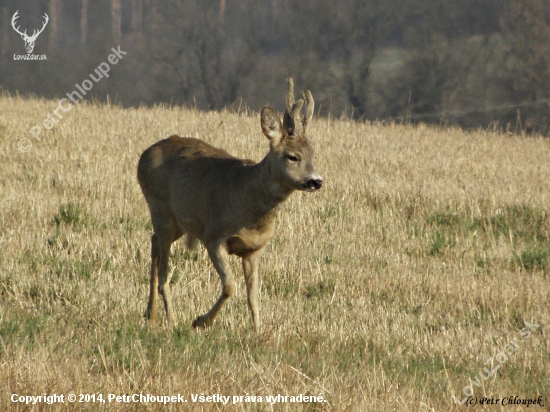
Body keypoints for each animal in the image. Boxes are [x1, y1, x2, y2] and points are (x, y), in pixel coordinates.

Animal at [137, 79, 324, 332]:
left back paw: (151, 313)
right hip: (159, 208)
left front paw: (258, 331)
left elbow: (254, 295)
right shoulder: (214, 237)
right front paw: (200, 321)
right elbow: (230, 286)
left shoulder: (254, 249)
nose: (316, 181)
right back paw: (170, 319)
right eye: (292, 156)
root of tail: (144, 154)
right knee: (163, 267)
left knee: (154, 242)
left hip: (180, 222)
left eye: (313, 155)